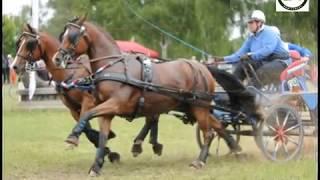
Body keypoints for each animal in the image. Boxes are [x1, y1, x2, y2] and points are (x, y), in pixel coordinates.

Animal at [12, 23, 161, 162]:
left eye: (30, 44)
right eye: (20, 43)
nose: (14, 66)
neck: (71, 72)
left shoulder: (89, 101)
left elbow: (85, 120)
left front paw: (107, 143)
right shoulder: (72, 108)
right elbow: (85, 127)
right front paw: (107, 149)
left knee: (152, 117)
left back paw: (141, 144)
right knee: (153, 117)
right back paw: (151, 144)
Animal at [55, 16, 258, 176]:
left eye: (72, 36)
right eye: (62, 35)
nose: (57, 58)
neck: (114, 67)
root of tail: (202, 67)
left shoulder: (116, 104)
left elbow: (87, 114)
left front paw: (72, 137)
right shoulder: (107, 111)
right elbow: (103, 136)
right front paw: (96, 166)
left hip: (199, 106)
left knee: (208, 132)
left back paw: (199, 161)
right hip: (192, 106)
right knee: (218, 126)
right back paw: (236, 151)